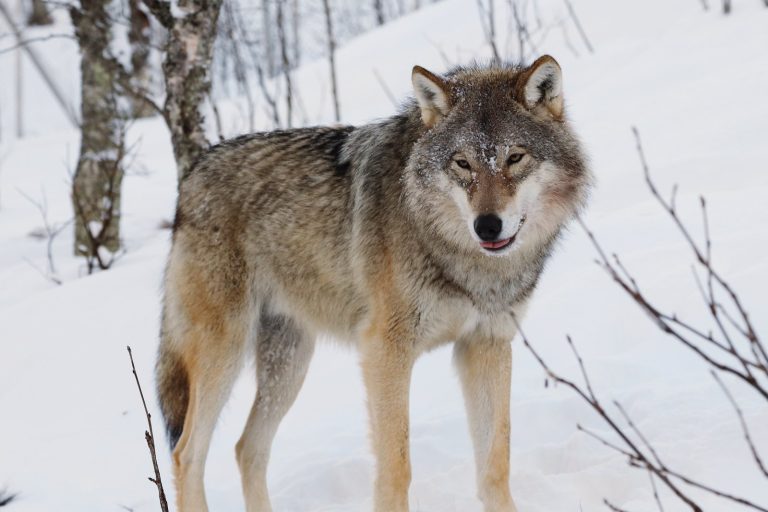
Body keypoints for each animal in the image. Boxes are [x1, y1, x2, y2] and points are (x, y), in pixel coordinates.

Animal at [156, 55, 591, 512]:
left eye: (515, 157)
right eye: (462, 163)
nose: (487, 226)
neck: (463, 260)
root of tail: (191, 176)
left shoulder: (486, 344)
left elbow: (495, 462)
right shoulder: (385, 351)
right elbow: (396, 467)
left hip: (289, 365)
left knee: (247, 448)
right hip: (224, 353)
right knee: (187, 454)